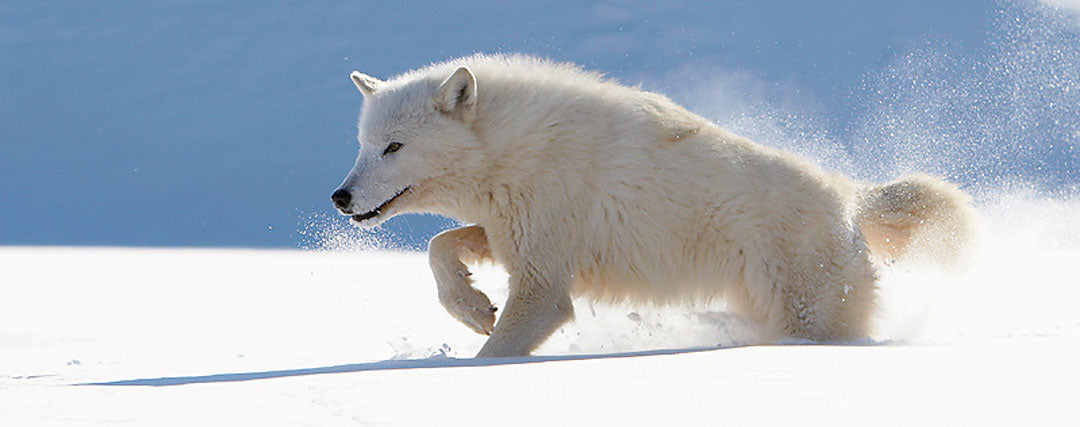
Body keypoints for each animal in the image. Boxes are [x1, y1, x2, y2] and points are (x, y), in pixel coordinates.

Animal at [332, 55, 976, 358]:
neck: (513, 147)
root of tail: (850, 194)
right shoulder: (512, 232)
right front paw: (471, 308)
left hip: (808, 316)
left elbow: (495, 353)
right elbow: (440, 247)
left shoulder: (546, 283)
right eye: (363, 145)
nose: (340, 198)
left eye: (394, 147)